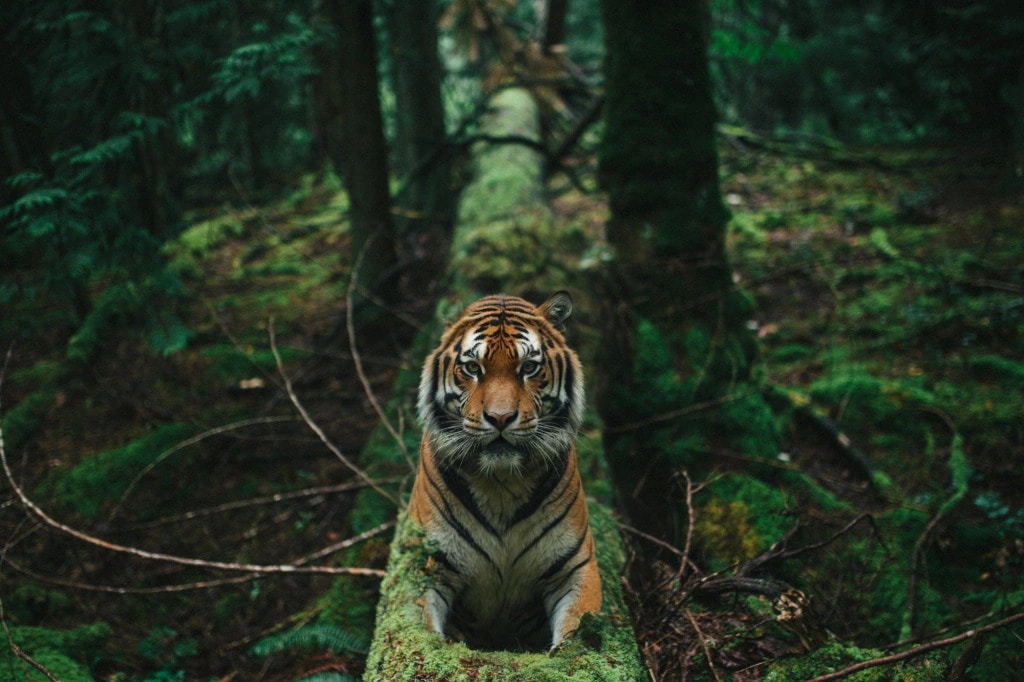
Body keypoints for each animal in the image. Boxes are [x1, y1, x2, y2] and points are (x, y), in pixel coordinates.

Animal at [408, 291, 602, 652]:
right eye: (473, 368)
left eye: (529, 367)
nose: (500, 418)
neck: (500, 483)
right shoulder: (428, 567)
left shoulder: (574, 569)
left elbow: (576, 636)